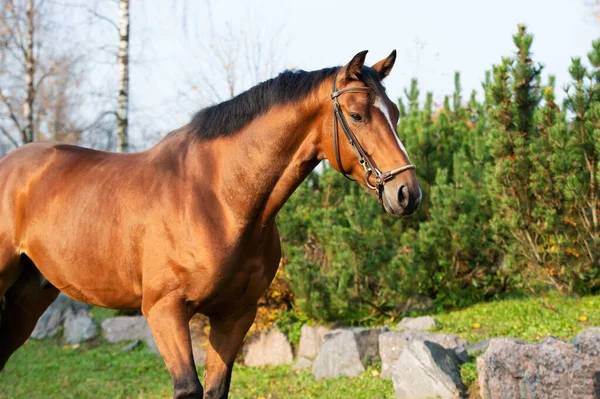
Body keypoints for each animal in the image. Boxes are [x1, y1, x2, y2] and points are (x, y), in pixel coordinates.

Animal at [0, 50, 420, 399]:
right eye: (357, 114)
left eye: (396, 113)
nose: (407, 193)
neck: (219, 200)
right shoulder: (164, 311)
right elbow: (189, 389)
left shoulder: (235, 315)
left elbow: (216, 389)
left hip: (29, 299)